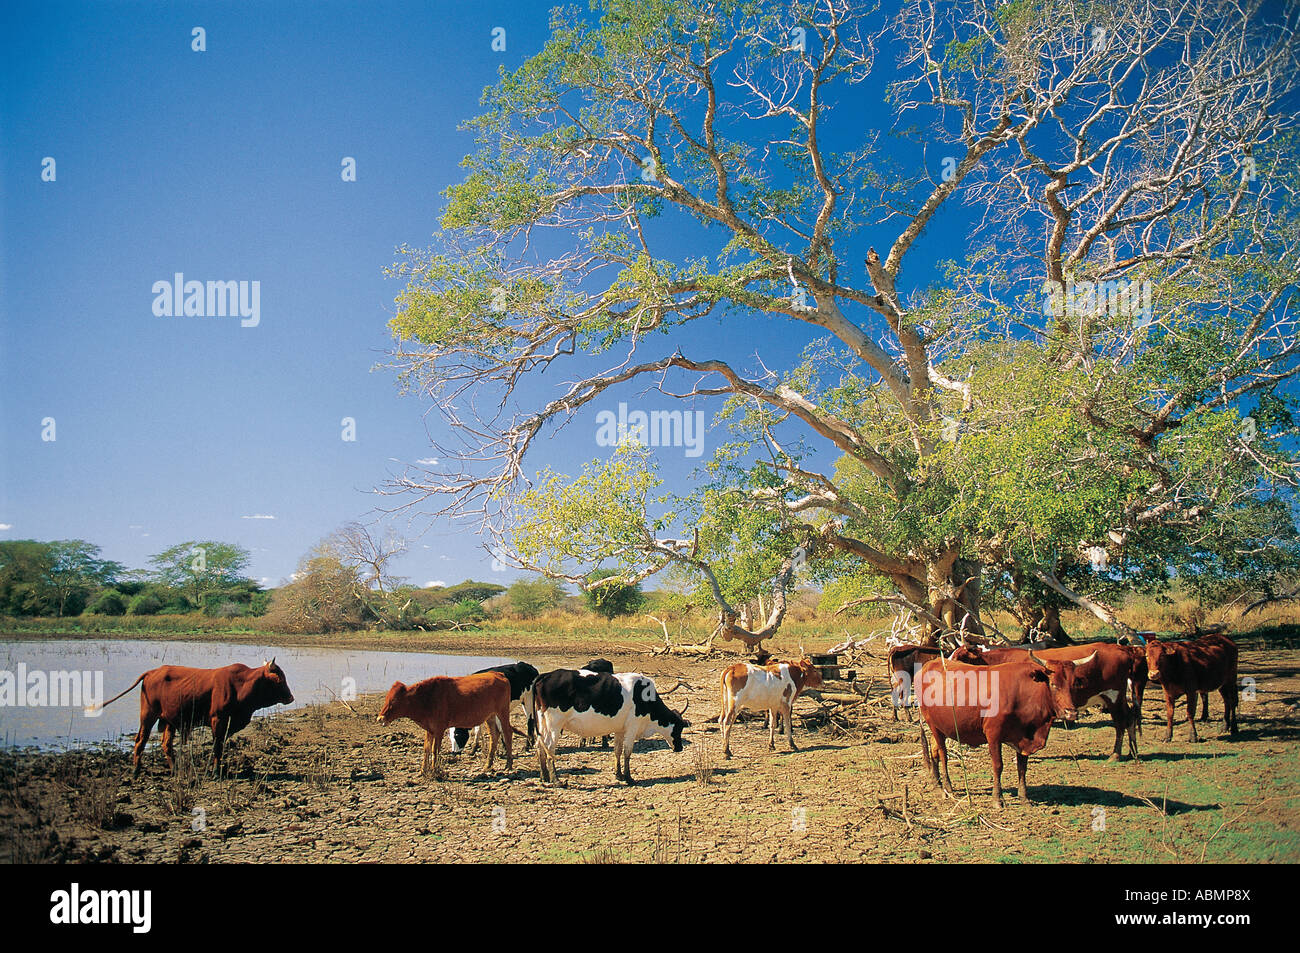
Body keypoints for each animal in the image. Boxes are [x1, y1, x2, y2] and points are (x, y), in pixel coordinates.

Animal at [92, 657, 295, 774]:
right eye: (278, 678)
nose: (291, 698)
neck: (241, 685)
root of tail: (153, 671)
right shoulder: (218, 720)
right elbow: (217, 747)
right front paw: (216, 772)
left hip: (168, 720)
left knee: (166, 745)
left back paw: (174, 770)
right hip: (148, 714)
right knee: (140, 740)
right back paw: (136, 770)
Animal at [377, 670, 512, 774]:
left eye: (394, 701)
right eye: (386, 698)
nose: (380, 718)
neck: (427, 698)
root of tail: (497, 674)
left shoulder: (439, 729)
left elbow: (434, 749)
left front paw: (434, 770)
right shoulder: (430, 729)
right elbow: (426, 749)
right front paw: (423, 771)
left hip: (503, 712)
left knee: (507, 734)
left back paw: (508, 765)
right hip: (490, 717)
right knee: (494, 736)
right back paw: (488, 765)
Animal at [533, 665, 691, 785]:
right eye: (679, 728)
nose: (680, 748)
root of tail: (545, 676)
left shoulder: (620, 730)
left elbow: (617, 751)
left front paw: (618, 774)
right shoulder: (632, 728)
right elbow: (627, 752)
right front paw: (628, 778)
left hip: (542, 724)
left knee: (540, 746)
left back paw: (544, 777)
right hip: (554, 725)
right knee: (549, 748)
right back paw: (555, 779)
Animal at [920, 657, 1092, 806]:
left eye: (1073, 684)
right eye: (1053, 684)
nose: (1071, 713)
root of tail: (929, 664)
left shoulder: (1023, 738)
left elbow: (1022, 768)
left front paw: (1024, 797)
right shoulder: (993, 734)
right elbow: (998, 765)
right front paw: (998, 799)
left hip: (940, 727)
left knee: (934, 751)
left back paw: (936, 784)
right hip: (933, 724)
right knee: (943, 754)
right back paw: (947, 788)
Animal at [951, 642, 1144, 764]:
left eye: (960, 656)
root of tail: (1121, 648)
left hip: (1114, 695)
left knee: (1121, 722)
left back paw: (1116, 754)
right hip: (1117, 697)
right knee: (1130, 718)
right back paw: (1132, 752)